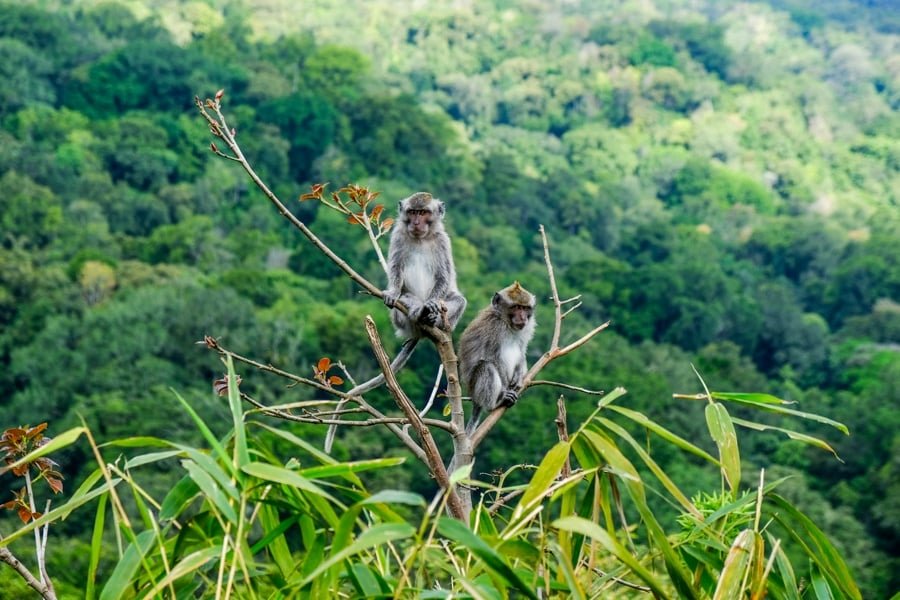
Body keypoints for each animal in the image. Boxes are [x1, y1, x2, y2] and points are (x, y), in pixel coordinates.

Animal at [324, 190, 464, 452]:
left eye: (424, 213)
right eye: (413, 212)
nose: (417, 223)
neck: (421, 238)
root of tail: (418, 332)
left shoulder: (443, 242)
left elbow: (444, 276)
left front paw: (432, 305)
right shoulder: (398, 238)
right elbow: (397, 269)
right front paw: (394, 292)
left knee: (459, 299)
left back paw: (433, 317)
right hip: (399, 320)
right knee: (406, 301)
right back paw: (414, 306)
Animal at [460, 284, 536, 434]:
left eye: (525, 308)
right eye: (516, 307)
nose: (523, 317)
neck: (506, 323)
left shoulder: (526, 328)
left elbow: (522, 351)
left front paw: (519, 376)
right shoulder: (494, 329)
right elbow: (492, 357)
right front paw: (506, 389)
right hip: (475, 387)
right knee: (486, 366)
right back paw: (495, 403)